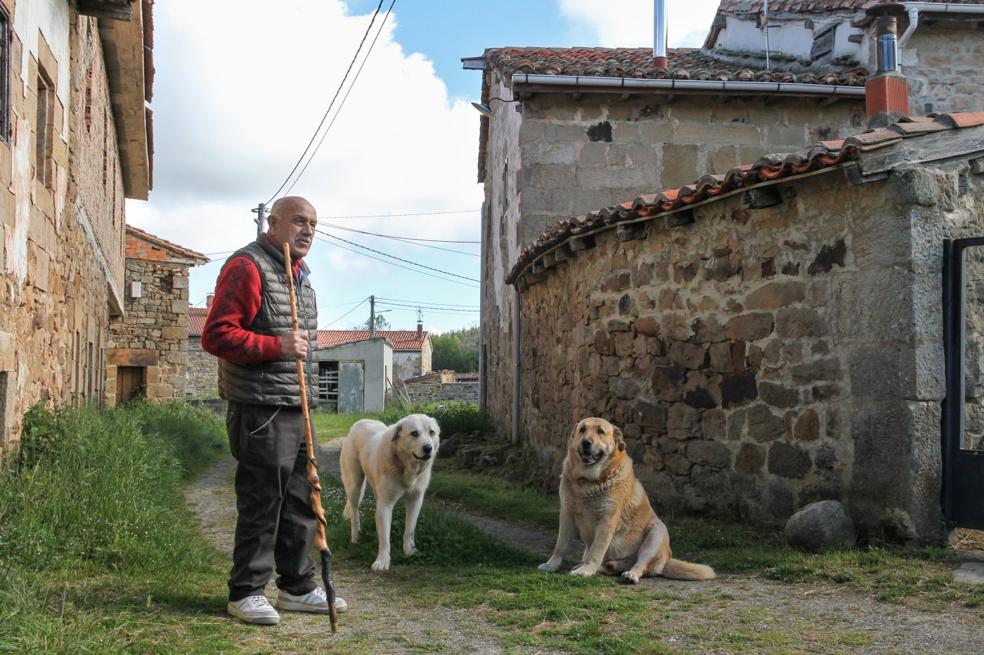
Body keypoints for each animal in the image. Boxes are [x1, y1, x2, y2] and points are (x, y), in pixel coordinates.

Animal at [342, 418, 442, 572]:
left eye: (432, 432)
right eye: (414, 433)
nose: (428, 448)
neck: (406, 466)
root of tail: (358, 423)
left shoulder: (415, 501)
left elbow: (409, 530)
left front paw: (410, 551)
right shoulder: (385, 505)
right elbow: (384, 538)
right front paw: (382, 561)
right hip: (354, 485)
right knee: (354, 511)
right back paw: (355, 536)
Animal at [540, 418, 716, 580]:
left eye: (600, 431)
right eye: (582, 429)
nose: (586, 442)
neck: (589, 481)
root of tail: (667, 560)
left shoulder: (607, 521)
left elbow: (596, 550)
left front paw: (586, 569)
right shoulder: (566, 515)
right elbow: (560, 545)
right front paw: (552, 564)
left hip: (656, 533)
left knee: (642, 565)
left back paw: (631, 574)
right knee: (612, 564)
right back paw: (607, 566)